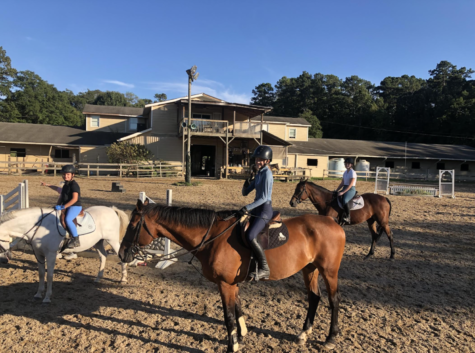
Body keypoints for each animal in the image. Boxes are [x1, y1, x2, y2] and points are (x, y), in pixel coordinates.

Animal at [119, 199, 346, 350]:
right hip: (310, 268)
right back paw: (303, 334)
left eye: (133, 225)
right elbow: (237, 308)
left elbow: (228, 316)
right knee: (314, 297)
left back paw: (331, 338)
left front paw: (233, 346)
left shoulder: (224, 284)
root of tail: (332, 222)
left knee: (334, 300)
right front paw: (241, 336)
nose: (122, 253)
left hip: (329, 271)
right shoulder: (232, 284)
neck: (213, 237)